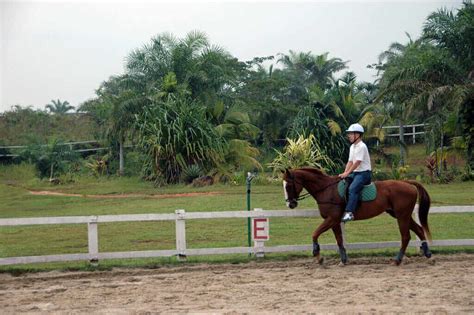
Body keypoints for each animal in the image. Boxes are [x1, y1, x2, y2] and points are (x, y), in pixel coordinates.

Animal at [282, 168, 434, 266]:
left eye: (288, 185)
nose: (290, 204)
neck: (326, 190)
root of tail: (407, 183)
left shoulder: (331, 219)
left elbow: (315, 234)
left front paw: (318, 256)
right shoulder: (334, 221)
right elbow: (339, 240)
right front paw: (343, 260)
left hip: (402, 216)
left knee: (406, 237)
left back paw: (398, 260)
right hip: (401, 215)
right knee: (419, 230)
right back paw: (427, 254)